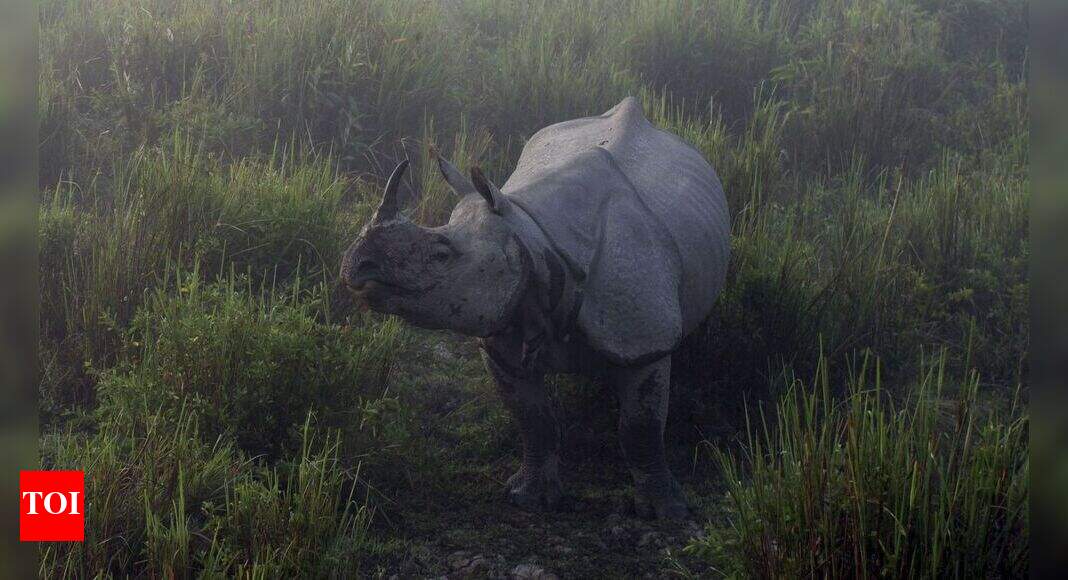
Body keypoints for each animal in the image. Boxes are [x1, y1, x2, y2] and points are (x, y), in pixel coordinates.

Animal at [341, 97, 729, 519]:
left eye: (442, 254)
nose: (356, 265)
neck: (530, 233)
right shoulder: (504, 326)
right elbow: (533, 419)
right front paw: (528, 497)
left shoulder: (644, 340)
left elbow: (640, 427)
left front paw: (666, 511)